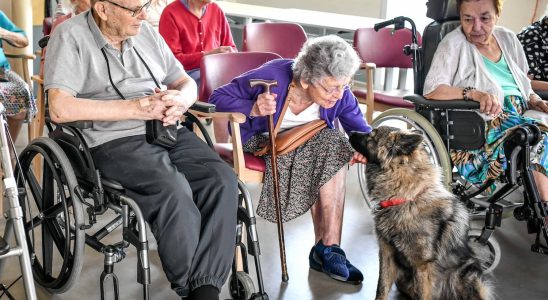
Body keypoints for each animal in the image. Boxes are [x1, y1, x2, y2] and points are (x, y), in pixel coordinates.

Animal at [348, 127, 494, 300]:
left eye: (372, 137)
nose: (350, 132)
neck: (406, 197)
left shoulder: (421, 266)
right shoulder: (387, 254)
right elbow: (381, 289)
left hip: (468, 276)